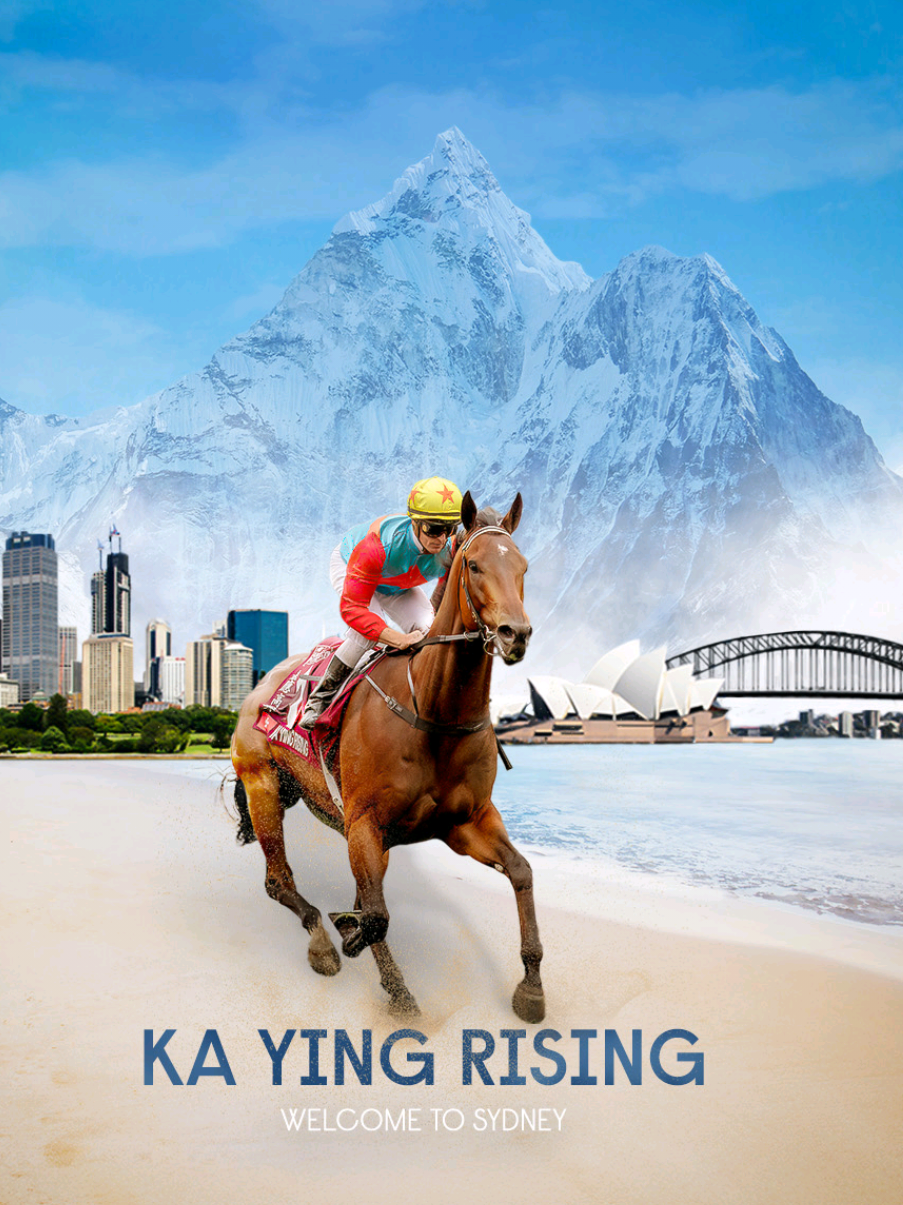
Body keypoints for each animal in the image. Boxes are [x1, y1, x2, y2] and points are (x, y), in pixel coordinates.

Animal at [230, 490, 544, 1022]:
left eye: (523, 565)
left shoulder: (467, 822)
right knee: (278, 881)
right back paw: (321, 943)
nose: (514, 633)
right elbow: (376, 916)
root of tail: (261, 685)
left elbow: (521, 871)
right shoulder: (365, 822)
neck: (434, 713)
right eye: (475, 565)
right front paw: (395, 989)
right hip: (264, 786)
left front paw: (531, 988)